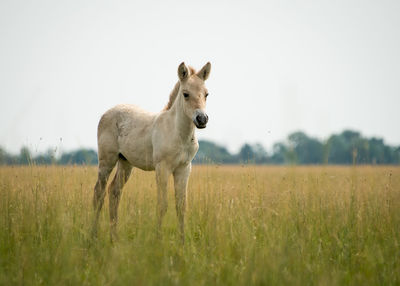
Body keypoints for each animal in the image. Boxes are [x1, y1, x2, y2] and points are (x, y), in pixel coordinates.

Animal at [93, 61, 212, 241]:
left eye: (206, 94)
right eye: (185, 94)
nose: (202, 119)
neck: (178, 133)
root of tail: (107, 113)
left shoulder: (184, 169)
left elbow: (181, 207)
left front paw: (182, 242)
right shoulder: (162, 168)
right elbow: (162, 205)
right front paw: (158, 240)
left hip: (125, 163)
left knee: (114, 192)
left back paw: (114, 238)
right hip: (107, 160)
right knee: (98, 193)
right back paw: (92, 236)